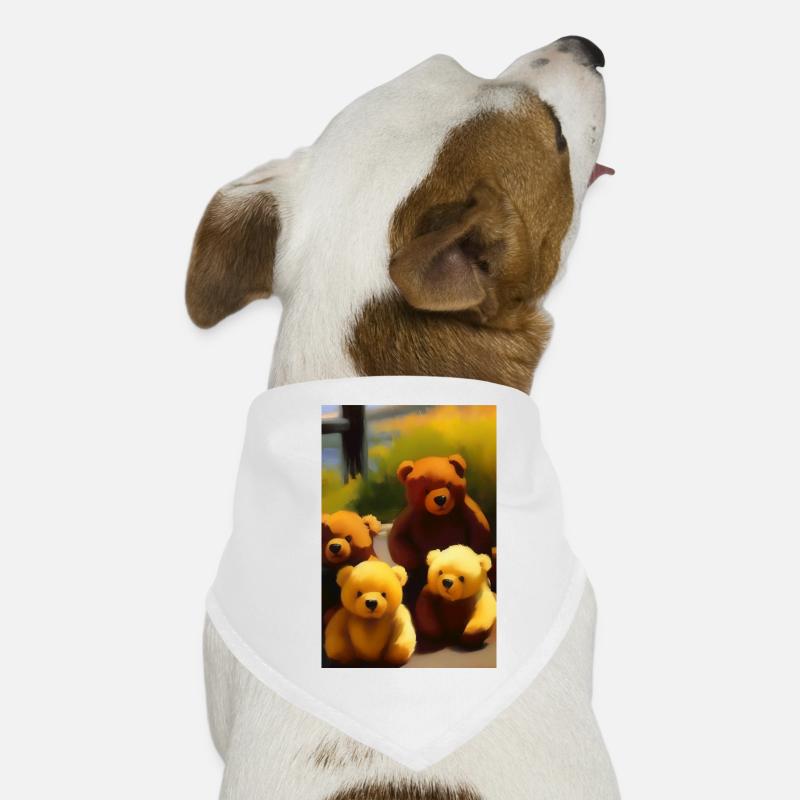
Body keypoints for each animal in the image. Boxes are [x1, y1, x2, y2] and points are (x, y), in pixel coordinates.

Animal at [388, 454, 492, 602]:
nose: (440, 498)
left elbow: (480, 534)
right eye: (426, 490)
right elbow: (397, 539)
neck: (440, 516)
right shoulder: (410, 516)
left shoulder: (468, 510)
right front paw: (417, 557)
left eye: (448, 485)